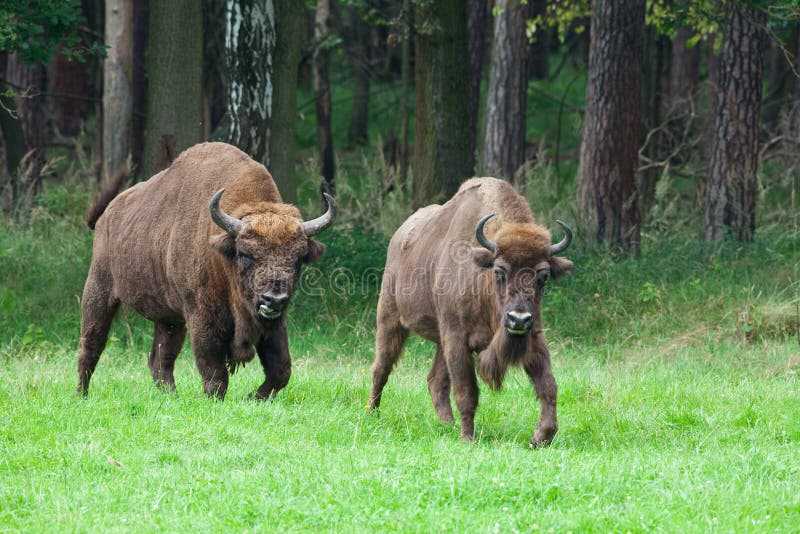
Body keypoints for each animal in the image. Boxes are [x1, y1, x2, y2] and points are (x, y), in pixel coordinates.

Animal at [78, 144, 334, 400]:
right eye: (245, 254)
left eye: (299, 258)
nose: (274, 298)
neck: (223, 255)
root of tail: (106, 216)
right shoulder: (201, 316)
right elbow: (215, 373)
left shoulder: (274, 325)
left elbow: (281, 370)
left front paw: (252, 398)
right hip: (99, 290)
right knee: (91, 345)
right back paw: (82, 394)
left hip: (169, 318)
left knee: (160, 359)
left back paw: (171, 396)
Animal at [368, 178, 576, 446]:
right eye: (499, 271)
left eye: (544, 276)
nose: (518, 319)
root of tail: (399, 236)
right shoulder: (457, 340)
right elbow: (466, 391)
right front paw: (468, 437)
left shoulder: (534, 338)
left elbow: (548, 385)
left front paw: (541, 438)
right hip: (390, 319)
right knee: (381, 368)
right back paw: (371, 413)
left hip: (439, 340)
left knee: (435, 381)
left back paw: (446, 424)